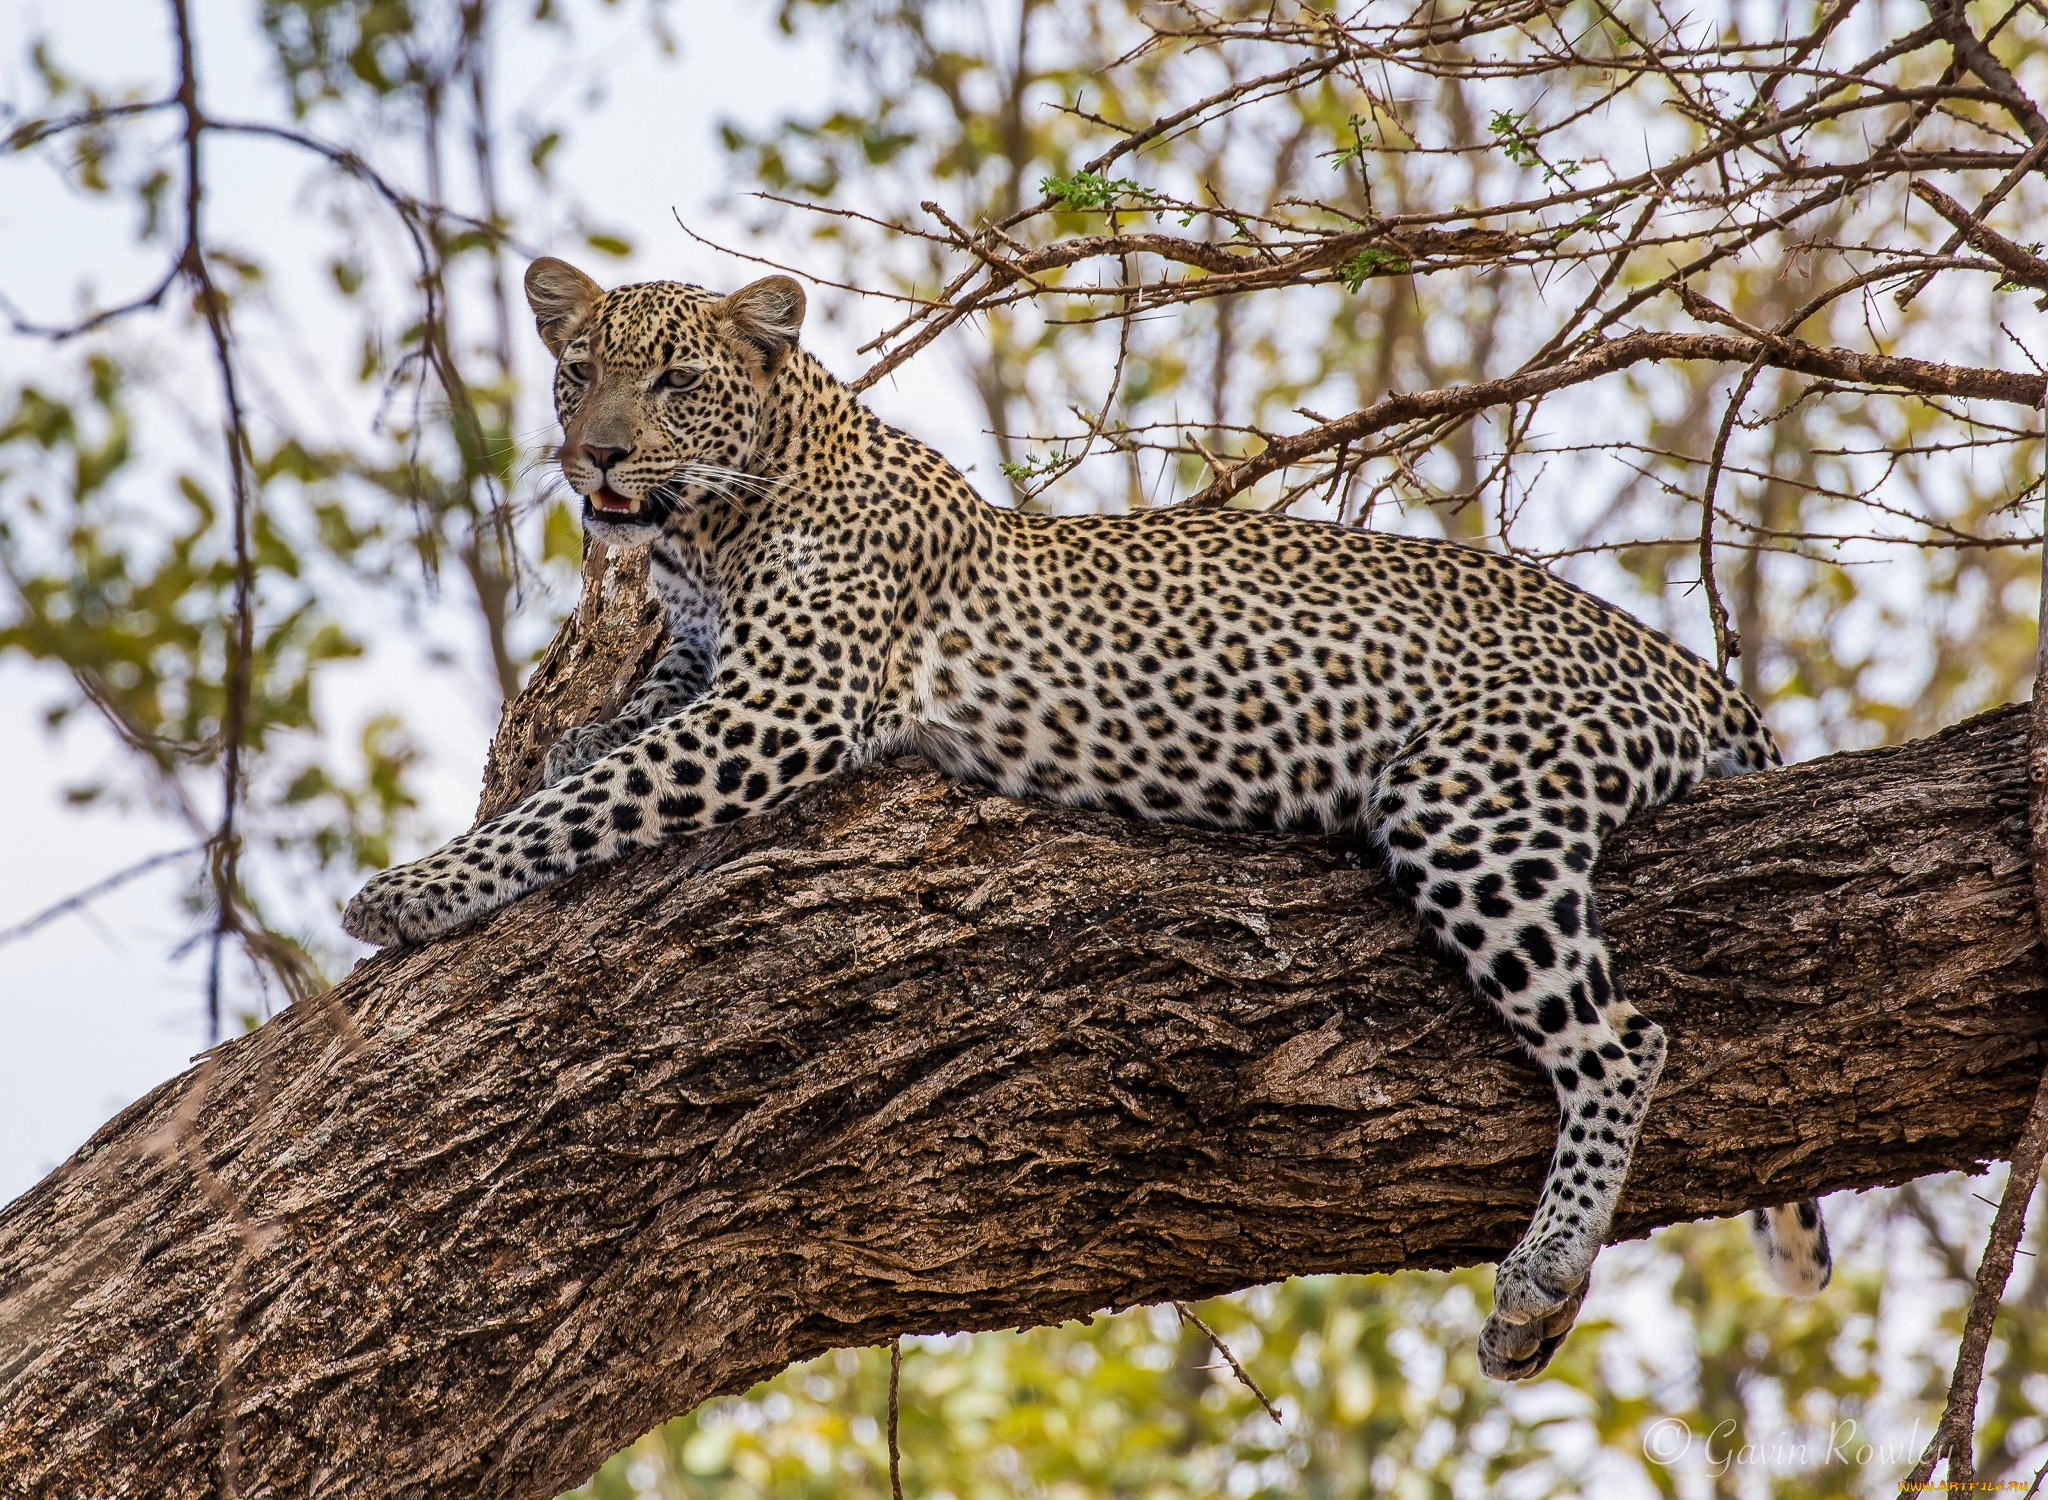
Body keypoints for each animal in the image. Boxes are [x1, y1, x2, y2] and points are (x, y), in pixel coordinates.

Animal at [344, 258, 1835, 1385]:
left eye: (672, 381)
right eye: (577, 368)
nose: (590, 452)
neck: (707, 537)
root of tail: (1690, 666)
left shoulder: (791, 703)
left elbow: (583, 806)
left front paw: (413, 891)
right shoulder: (714, 676)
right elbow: (606, 739)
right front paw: (545, 759)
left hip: (1467, 800)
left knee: (1623, 1042)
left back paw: (1540, 1278)